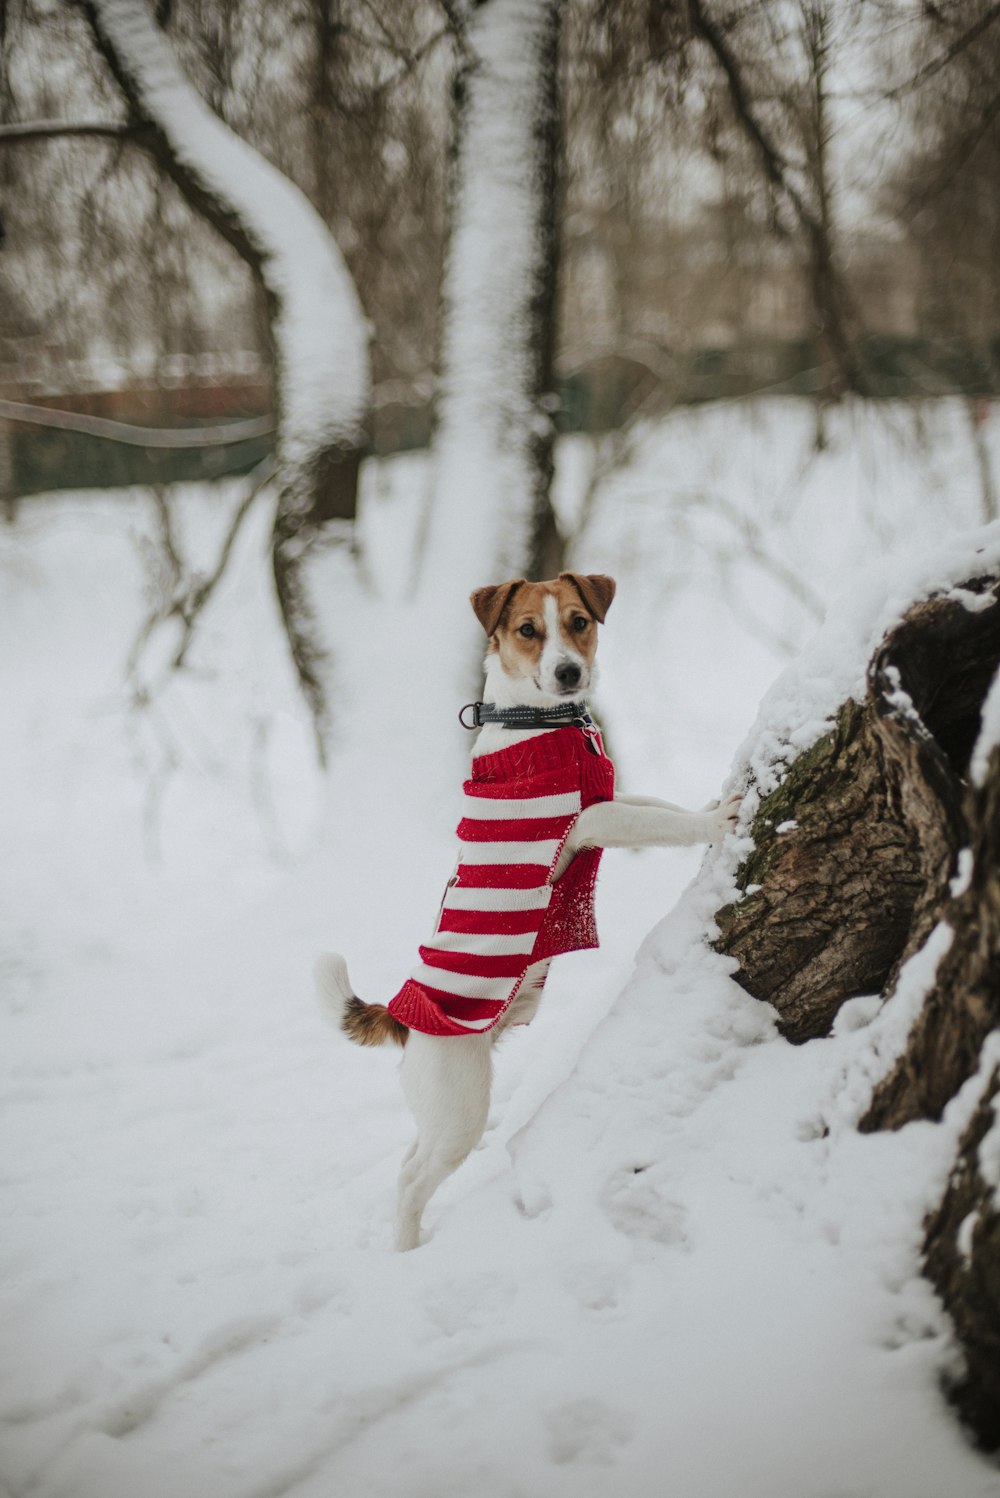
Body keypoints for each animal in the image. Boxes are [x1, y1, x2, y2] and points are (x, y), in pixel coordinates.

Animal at [314, 572, 742, 1252]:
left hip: (438, 1113)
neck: (537, 722)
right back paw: (408, 1253)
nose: (569, 672)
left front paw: (701, 804)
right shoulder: (590, 820)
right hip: (461, 1107)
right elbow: (655, 822)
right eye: (526, 630)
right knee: (412, 1181)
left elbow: (658, 805)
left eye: (578, 621)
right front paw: (715, 821)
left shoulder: (610, 794)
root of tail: (402, 1016)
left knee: (408, 1160)